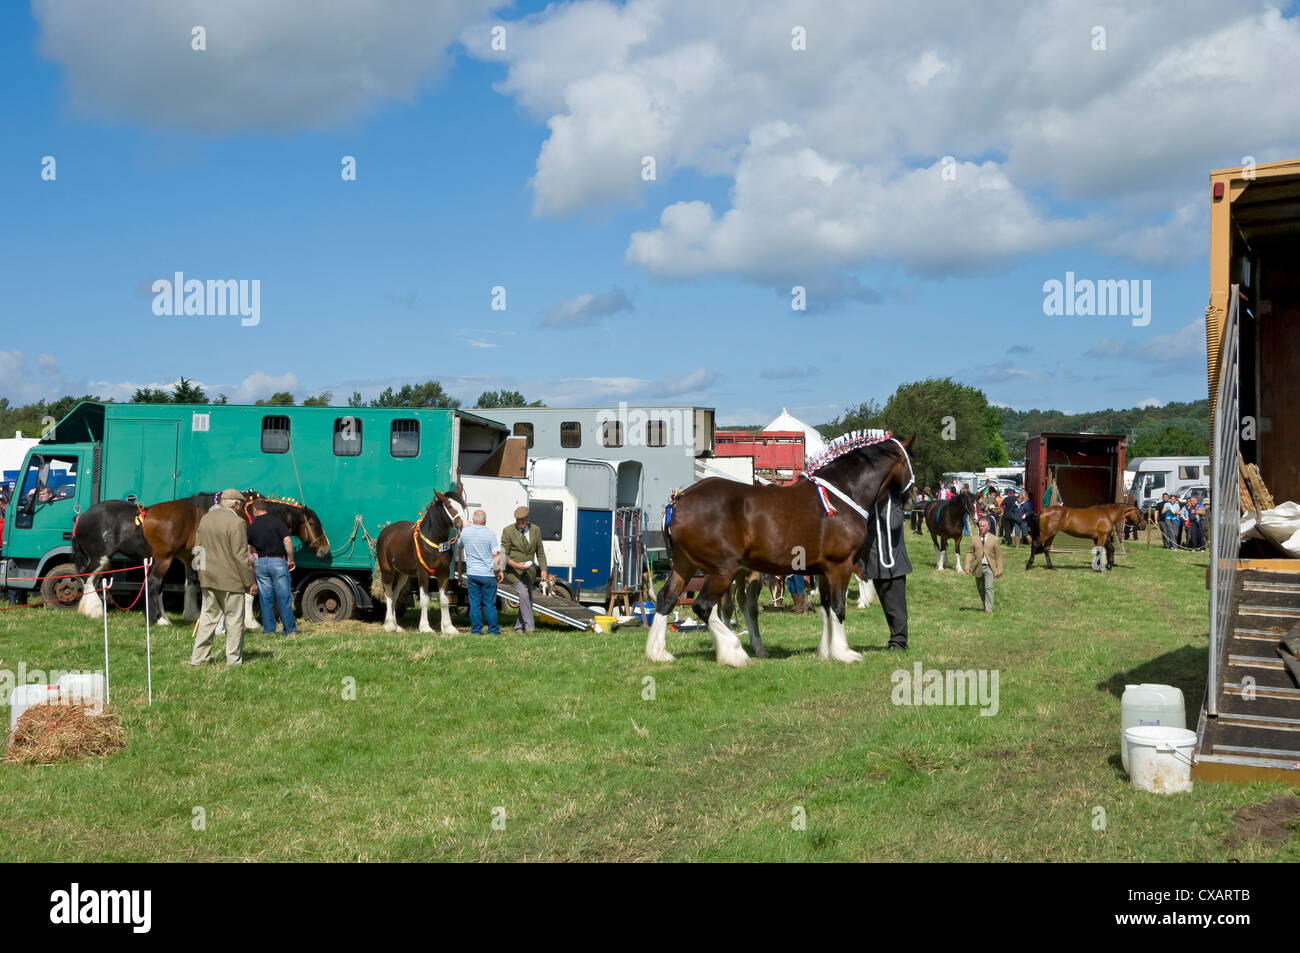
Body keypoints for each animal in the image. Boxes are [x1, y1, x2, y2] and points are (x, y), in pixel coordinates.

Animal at [377, 491, 467, 631]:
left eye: (463, 506)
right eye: (450, 507)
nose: (463, 524)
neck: (436, 543)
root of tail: (386, 531)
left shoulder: (444, 573)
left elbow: (444, 600)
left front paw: (448, 627)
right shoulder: (423, 573)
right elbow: (424, 600)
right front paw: (425, 627)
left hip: (402, 574)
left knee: (395, 594)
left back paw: (397, 627)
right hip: (387, 571)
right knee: (389, 594)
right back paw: (390, 625)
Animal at [647, 429, 915, 660]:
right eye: (911, 459)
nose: (911, 500)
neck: (841, 496)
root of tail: (679, 500)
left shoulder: (824, 570)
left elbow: (826, 608)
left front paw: (826, 652)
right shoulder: (841, 566)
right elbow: (838, 608)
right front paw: (844, 653)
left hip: (685, 566)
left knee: (666, 598)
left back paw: (658, 653)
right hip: (722, 570)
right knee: (704, 606)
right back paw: (735, 653)